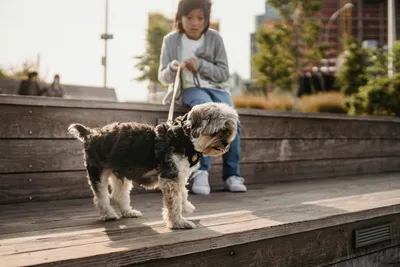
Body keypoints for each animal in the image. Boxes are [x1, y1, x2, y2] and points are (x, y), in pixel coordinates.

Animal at [67, 103, 239, 230]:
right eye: (218, 130)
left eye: (228, 130)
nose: (226, 143)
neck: (184, 138)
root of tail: (91, 133)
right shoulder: (170, 176)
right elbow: (174, 202)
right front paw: (178, 222)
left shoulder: (179, 174)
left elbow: (182, 193)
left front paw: (185, 207)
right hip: (98, 173)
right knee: (101, 196)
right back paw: (108, 215)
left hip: (120, 174)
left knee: (118, 194)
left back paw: (128, 212)